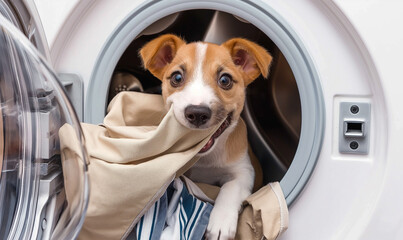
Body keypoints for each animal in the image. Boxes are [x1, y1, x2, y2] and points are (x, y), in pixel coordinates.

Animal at [140, 34, 274, 240]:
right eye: (177, 77)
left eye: (225, 80)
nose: (197, 113)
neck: (206, 159)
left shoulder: (244, 171)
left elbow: (231, 188)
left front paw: (221, 222)